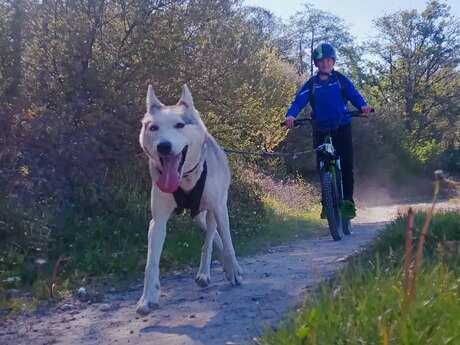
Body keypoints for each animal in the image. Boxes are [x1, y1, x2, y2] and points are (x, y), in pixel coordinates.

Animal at [136, 84, 243, 314]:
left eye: (179, 125)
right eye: (153, 128)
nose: (163, 146)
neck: (185, 179)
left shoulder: (220, 209)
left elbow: (228, 241)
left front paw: (234, 270)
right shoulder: (157, 221)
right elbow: (151, 262)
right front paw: (147, 298)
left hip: (214, 208)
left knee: (211, 237)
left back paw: (211, 271)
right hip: (198, 216)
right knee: (211, 235)